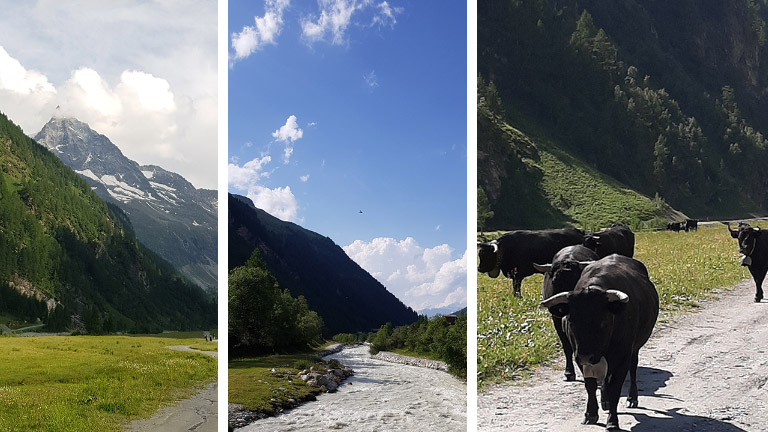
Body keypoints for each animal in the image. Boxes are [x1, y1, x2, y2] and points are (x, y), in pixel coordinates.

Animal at [536, 246, 600, 382]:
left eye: (576, 280)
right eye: (554, 281)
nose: (562, 307)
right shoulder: (556, 318)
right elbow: (567, 346)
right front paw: (569, 372)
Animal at [540, 255, 660, 430]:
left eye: (603, 321)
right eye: (571, 321)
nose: (586, 356)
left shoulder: (622, 357)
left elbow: (615, 388)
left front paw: (612, 421)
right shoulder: (580, 359)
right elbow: (590, 386)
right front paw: (591, 414)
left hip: (634, 350)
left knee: (632, 369)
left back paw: (631, 398)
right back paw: (605, 401)